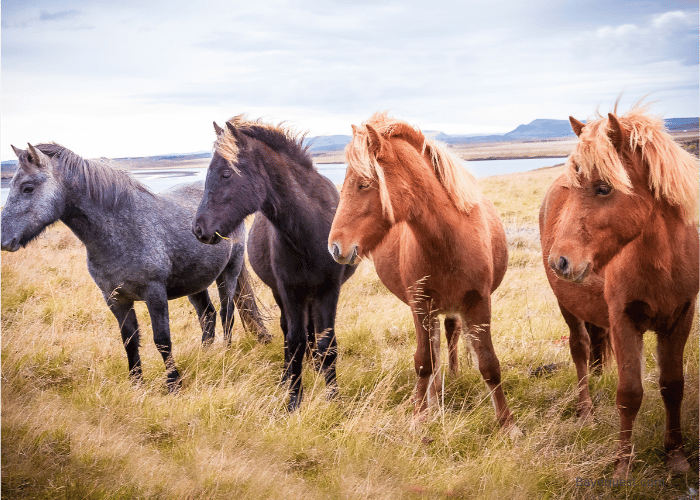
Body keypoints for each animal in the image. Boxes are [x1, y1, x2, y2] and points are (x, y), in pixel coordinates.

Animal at [0, 144, 270, 390]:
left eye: (27, 187)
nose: (3, 240)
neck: (120, 231)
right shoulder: (115, 299)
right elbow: (129, 340)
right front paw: (136, 384)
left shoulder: (155, 294)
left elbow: (162, 340)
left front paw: (173, 384)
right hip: (195, 283)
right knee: (208, 316)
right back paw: (205, 356)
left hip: (229, 273)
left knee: (227, 313)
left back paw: (226, 353)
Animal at [328, 113, 516, 430]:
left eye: (364, 184)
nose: (334, 247)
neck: (450, 239)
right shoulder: (420, 304)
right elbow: (424, 362)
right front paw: (419, 417)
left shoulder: (479, 303)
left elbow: (489, 364)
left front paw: (507, 425)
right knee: (437, 349)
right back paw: (435, 397)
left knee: (450, 334)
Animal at [540, 102, 700, 476]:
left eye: (603, 188)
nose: (560, 261)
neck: (661, 264)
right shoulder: (624, 320)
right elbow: (629, 394)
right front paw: (622, 467)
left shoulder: (680, 318)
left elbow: (673, 386)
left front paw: (677, 457)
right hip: (568, 308)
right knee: (581, 349)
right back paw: (586, 412)